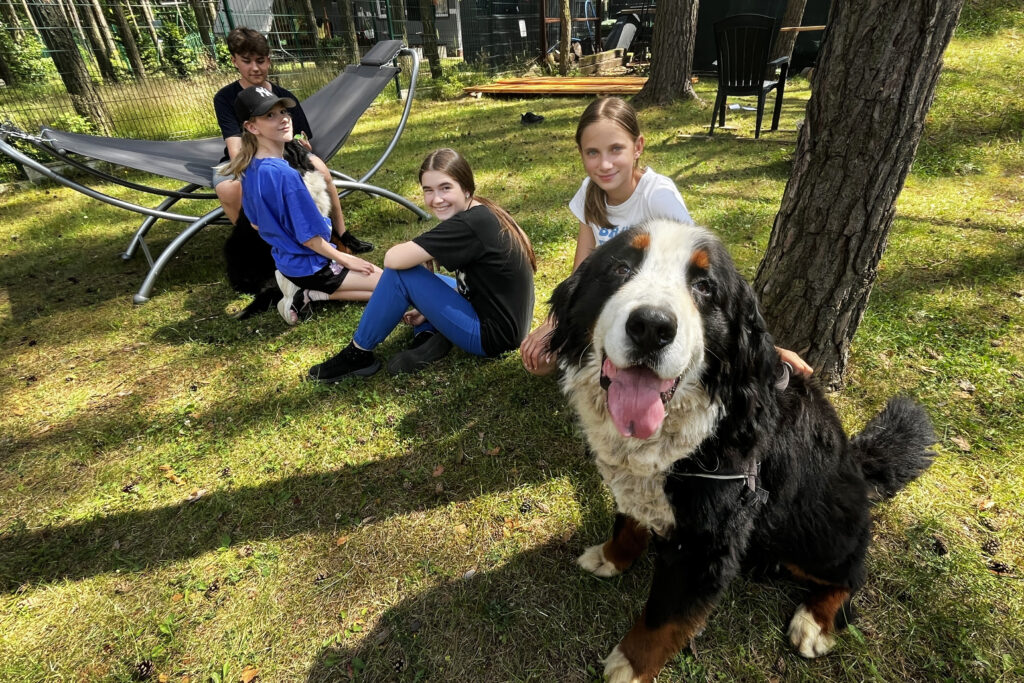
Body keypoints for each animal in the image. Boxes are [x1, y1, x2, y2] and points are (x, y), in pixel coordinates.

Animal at [547, 219, 936, 682]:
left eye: (704, 286)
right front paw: (611, 557)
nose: (651, 327)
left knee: (851, 570)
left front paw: (631, 664)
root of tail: (857, 464)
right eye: (621, 268)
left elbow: (664, 617)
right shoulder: (639, 487)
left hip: (811, 530)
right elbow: (627, 523)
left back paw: (814, 622)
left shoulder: (709, 541)